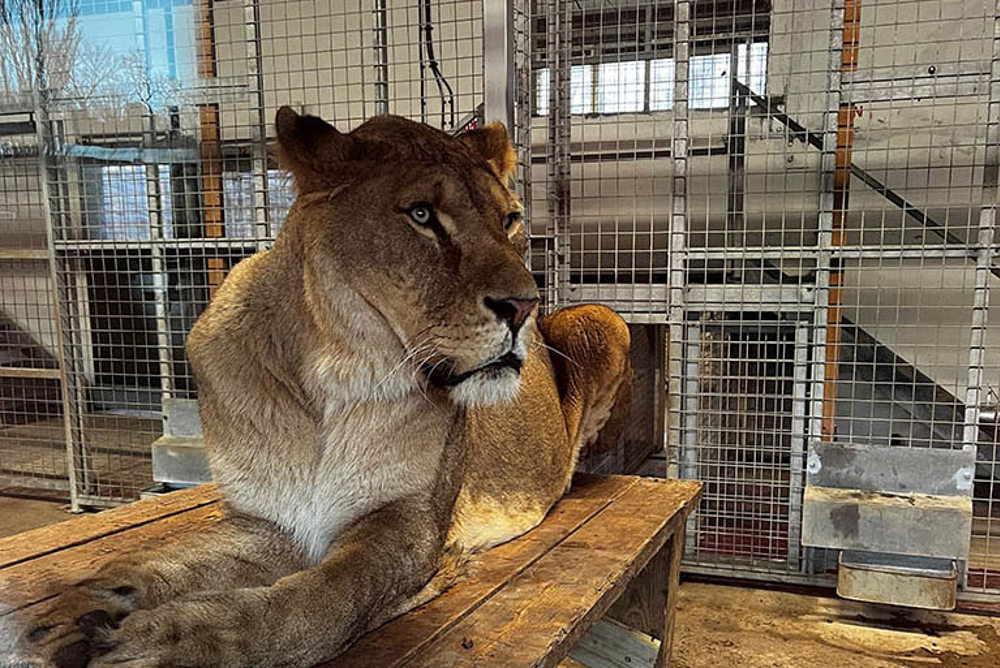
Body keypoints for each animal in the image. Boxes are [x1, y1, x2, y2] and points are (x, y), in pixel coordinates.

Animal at [11, 108, 630, 668]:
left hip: (600, 321)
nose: (524, 306)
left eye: (510, 221)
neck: (336, 375)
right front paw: (71, 612)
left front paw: (167, 642)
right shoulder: (269, 519)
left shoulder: (408, 523)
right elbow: (160, 564)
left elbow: (316, 601)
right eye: (422, 214)